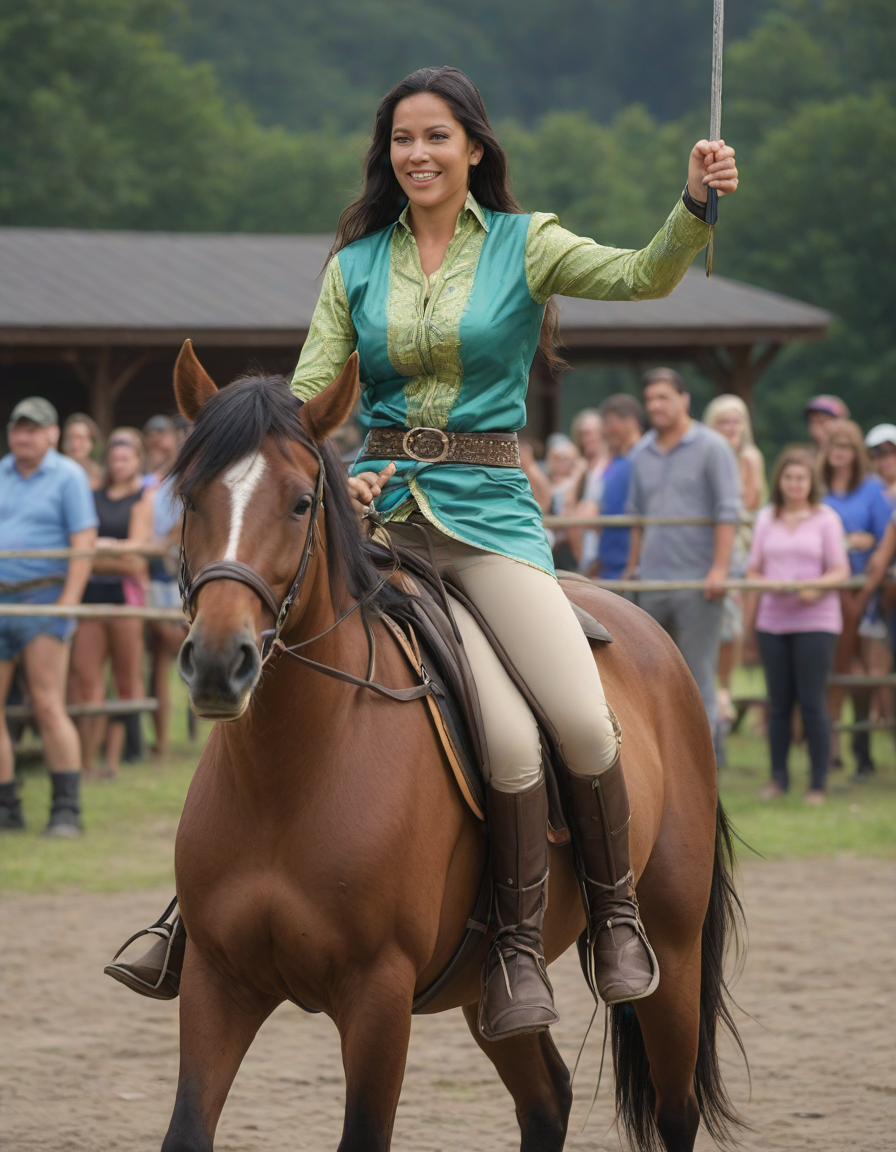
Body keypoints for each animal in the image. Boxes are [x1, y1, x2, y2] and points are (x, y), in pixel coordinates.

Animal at [158, 340, 744, 1152]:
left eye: (301, 503)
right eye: (190, 500)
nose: (220, 662)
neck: (293, 772)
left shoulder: (377, 997)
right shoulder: (219, 981)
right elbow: (186, 1127)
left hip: (675, 948)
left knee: (675, 1107)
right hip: (490, 992)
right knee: (548, 1095)